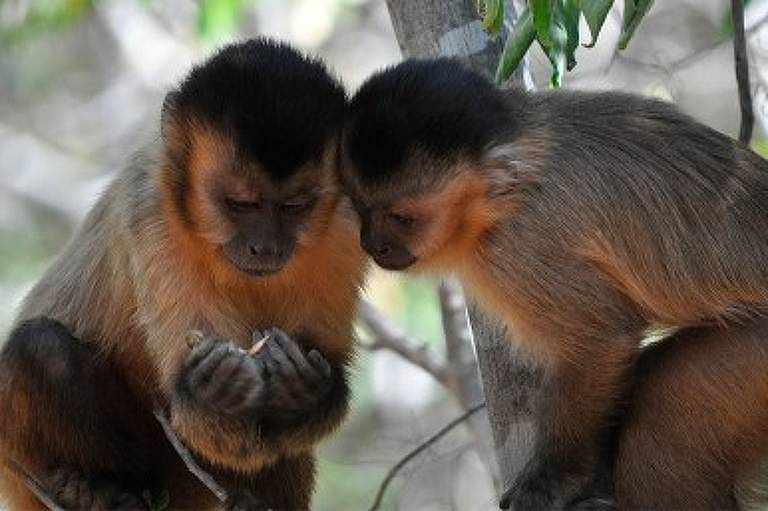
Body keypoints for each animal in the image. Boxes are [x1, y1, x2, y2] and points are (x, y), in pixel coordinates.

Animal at [0, 38, 366, 510]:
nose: (265, 246)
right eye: (242, 204)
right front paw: (215, 393)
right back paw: (100, 489)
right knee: (41, 348)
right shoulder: (151, 214)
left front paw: (303, 392)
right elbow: (202, 422)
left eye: (295, 206)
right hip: (22, 468)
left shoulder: (347, 224)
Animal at [340, 58, 768, 510]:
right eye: (360, 206)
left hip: (756, 357)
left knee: (659, 422)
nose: (374, 244)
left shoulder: (519, 247)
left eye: (402, 218)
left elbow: (601, 337)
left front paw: (554, 480)